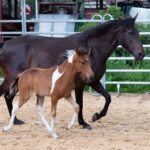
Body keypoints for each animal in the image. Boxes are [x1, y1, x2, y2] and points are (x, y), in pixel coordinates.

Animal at [0, 16, 145, 129]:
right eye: (130, 32)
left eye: (138, 32)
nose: (141, 54)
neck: (92, 50)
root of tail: (5, 45)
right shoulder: (80, 84)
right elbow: (80, 103)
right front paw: (84, 123)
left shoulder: (94, 81)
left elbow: (108, 98)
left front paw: (96, 116)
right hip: (12, 79)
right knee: (6, 96)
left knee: (8, 97)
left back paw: (16, 121)